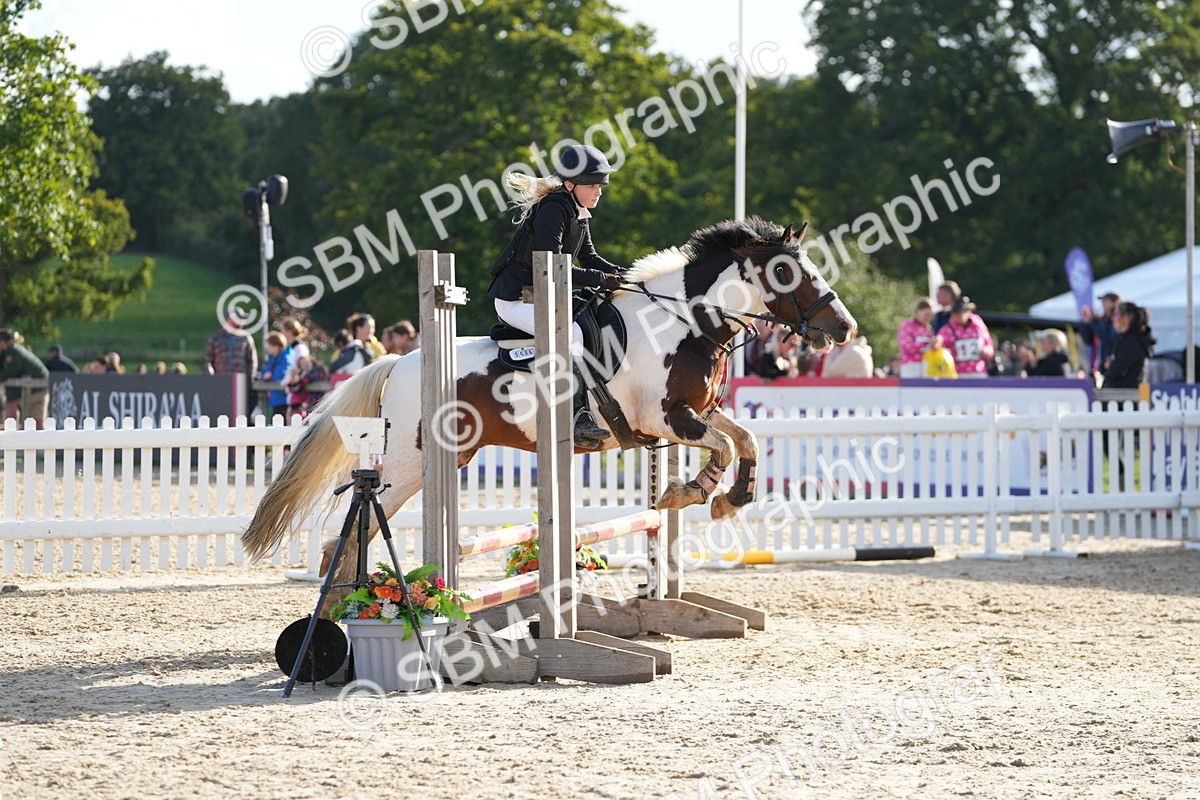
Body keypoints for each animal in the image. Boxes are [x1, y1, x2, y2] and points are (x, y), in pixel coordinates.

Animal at [242, 216, 857, 574]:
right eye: (788, 272)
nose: (845, 328)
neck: (683, 321)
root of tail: (398, 363)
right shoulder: (666, 419)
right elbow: (724, 448)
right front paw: (691, 492)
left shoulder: (696, 414)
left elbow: (744, 439)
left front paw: (730, 498)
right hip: (407, 466)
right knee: (346, 537)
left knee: (350, 539)